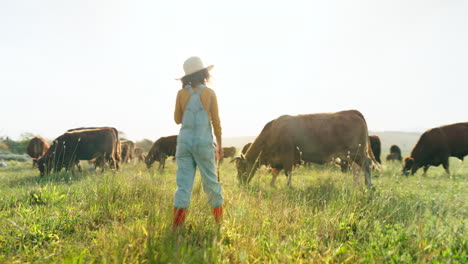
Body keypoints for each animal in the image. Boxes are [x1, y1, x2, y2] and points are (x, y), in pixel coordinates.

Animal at [234, 110, 376, 188]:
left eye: (241, 168)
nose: (240, 183)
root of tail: (352, 112)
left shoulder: (287, 156)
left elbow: (288, 173)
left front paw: (288, 187)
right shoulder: (278, 160)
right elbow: (275, 173)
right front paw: (272, 185)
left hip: (356, 152)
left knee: (366, 165)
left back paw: (369, 186)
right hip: (351, 155)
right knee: (357, 170)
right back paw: (356, 186)